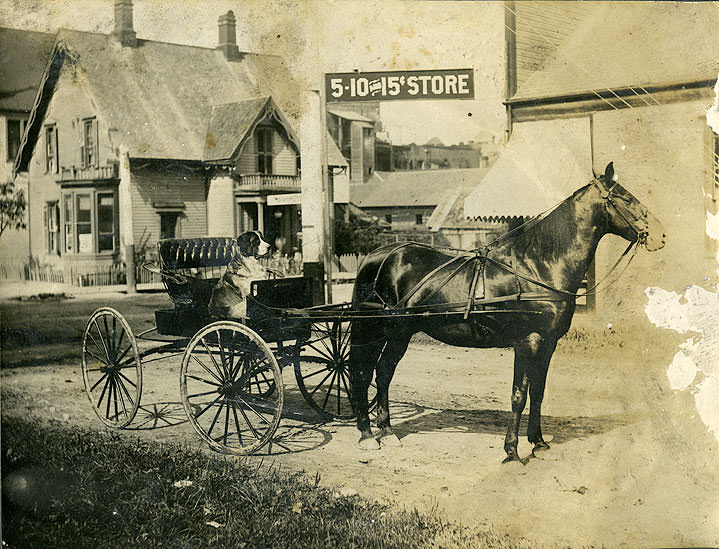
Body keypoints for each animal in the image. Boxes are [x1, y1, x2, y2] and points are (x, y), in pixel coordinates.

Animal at [348, 163, 664, 462]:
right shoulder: (528, 341)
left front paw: (538, 443)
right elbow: (519, 395)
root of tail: (377, 255)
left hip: (400, 332)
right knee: (362, 372)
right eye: (625, 197)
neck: (538, 266)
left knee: (383, 372)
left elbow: (538, 392)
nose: (660, 235)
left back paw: (386, 431)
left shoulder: (548, 343)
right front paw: (511, 452)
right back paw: (367, 435)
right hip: (372, 328)